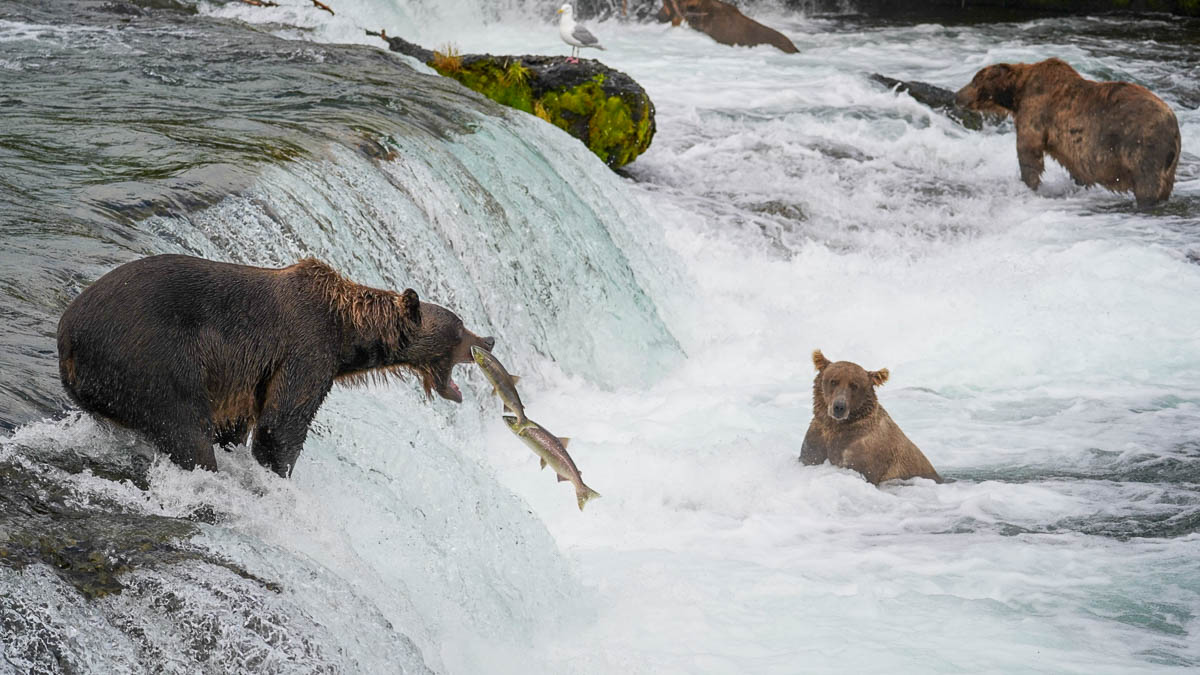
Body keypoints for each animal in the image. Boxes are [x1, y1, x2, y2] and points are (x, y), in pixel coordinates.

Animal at [57, 253, 492, 478]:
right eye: (459, 328)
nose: (487, 340)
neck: (346, 333)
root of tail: (67, 337)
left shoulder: (245, 379)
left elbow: (238, 423)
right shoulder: (305, 348)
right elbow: (282, 424)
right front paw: (278, 472)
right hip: (152, 359)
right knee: (184, 428)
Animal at [801, 348, 940, 480]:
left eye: (854, 385)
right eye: (833, 381)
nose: (839, 407)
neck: (836, 427)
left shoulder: (865, 455)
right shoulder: (816, 441)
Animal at [955, 57, 1180, 207]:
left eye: (974, 80)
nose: (956, 95)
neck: (1016, 95)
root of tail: (1174, 124)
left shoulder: (1036, 109)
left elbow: (1029, 153)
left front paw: (1030, 184)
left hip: (1143, 145)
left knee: (1147, 184)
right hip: (1168, 164)